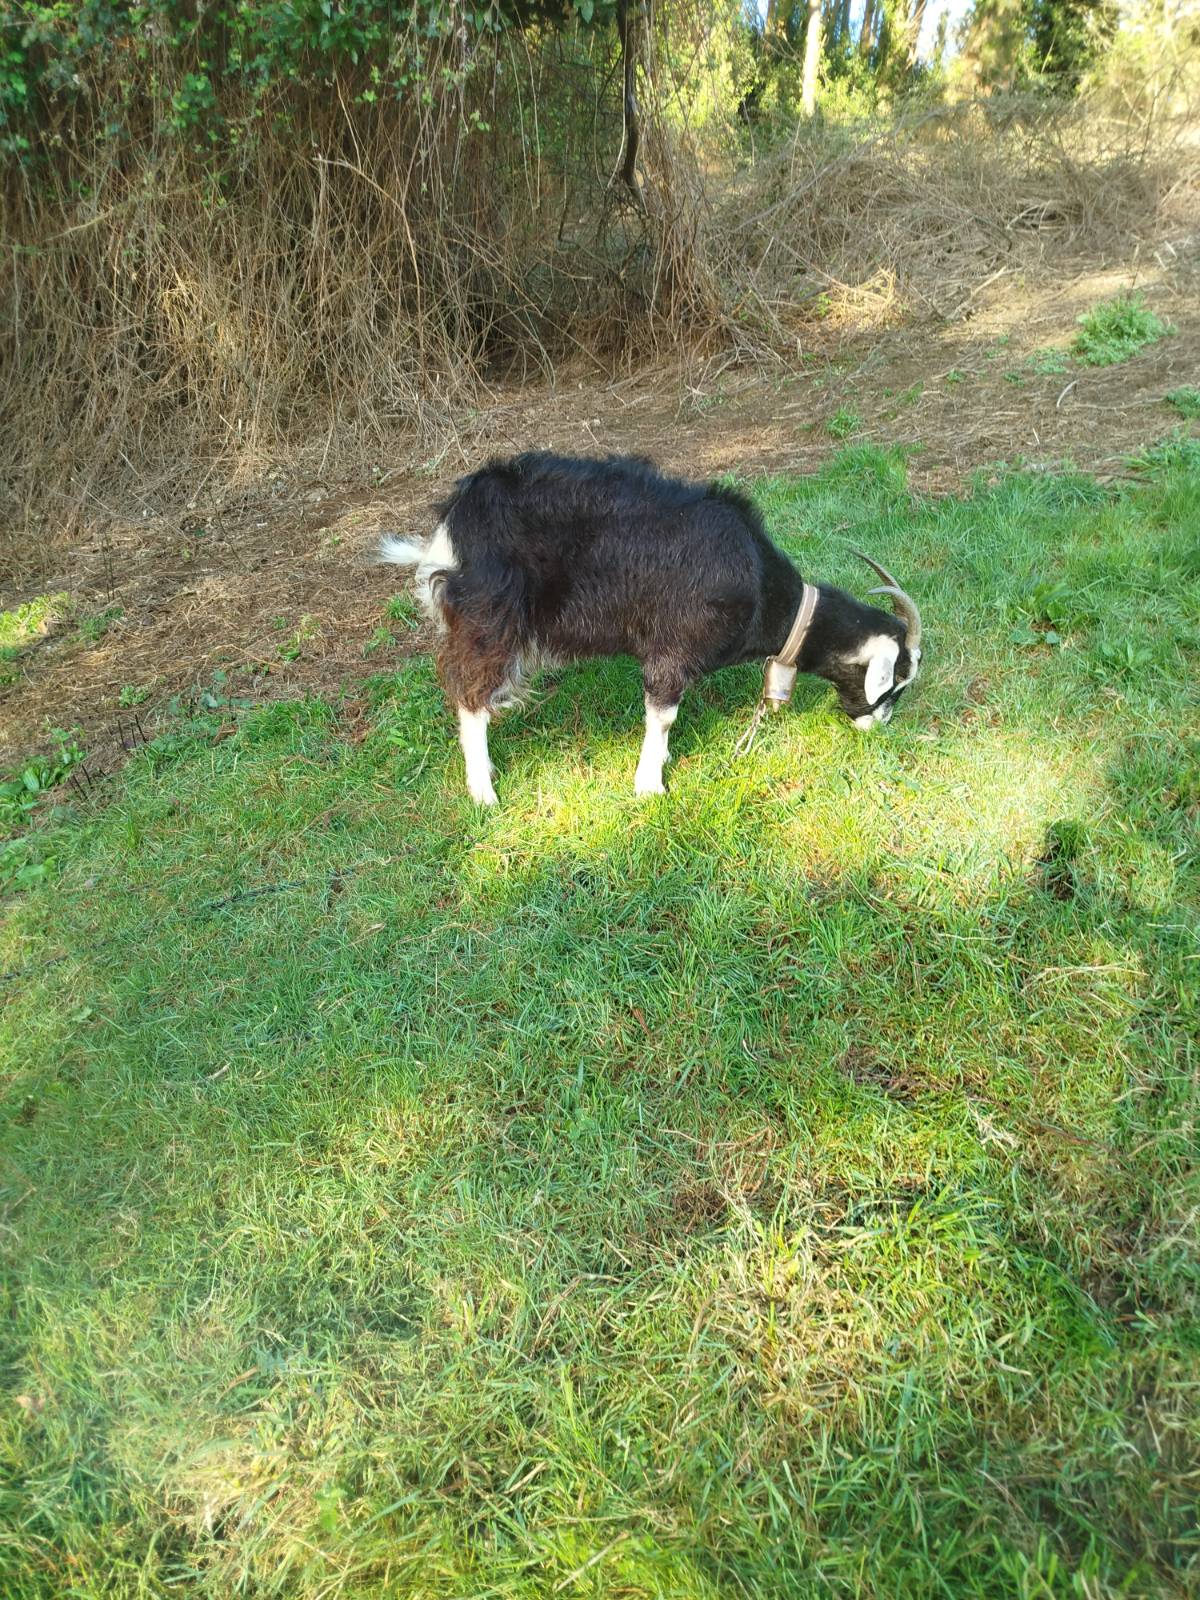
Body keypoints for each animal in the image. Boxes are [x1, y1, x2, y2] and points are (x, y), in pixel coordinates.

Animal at [380, 452, 922, 805]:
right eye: (895, 680)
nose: (877, 726)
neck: (764, 590)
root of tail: (454, 522)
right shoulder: (672, 649)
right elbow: (663, 715)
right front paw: (649, 786)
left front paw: (656, 768)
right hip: (490, 616)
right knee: (470, 693)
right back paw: (484, 791)